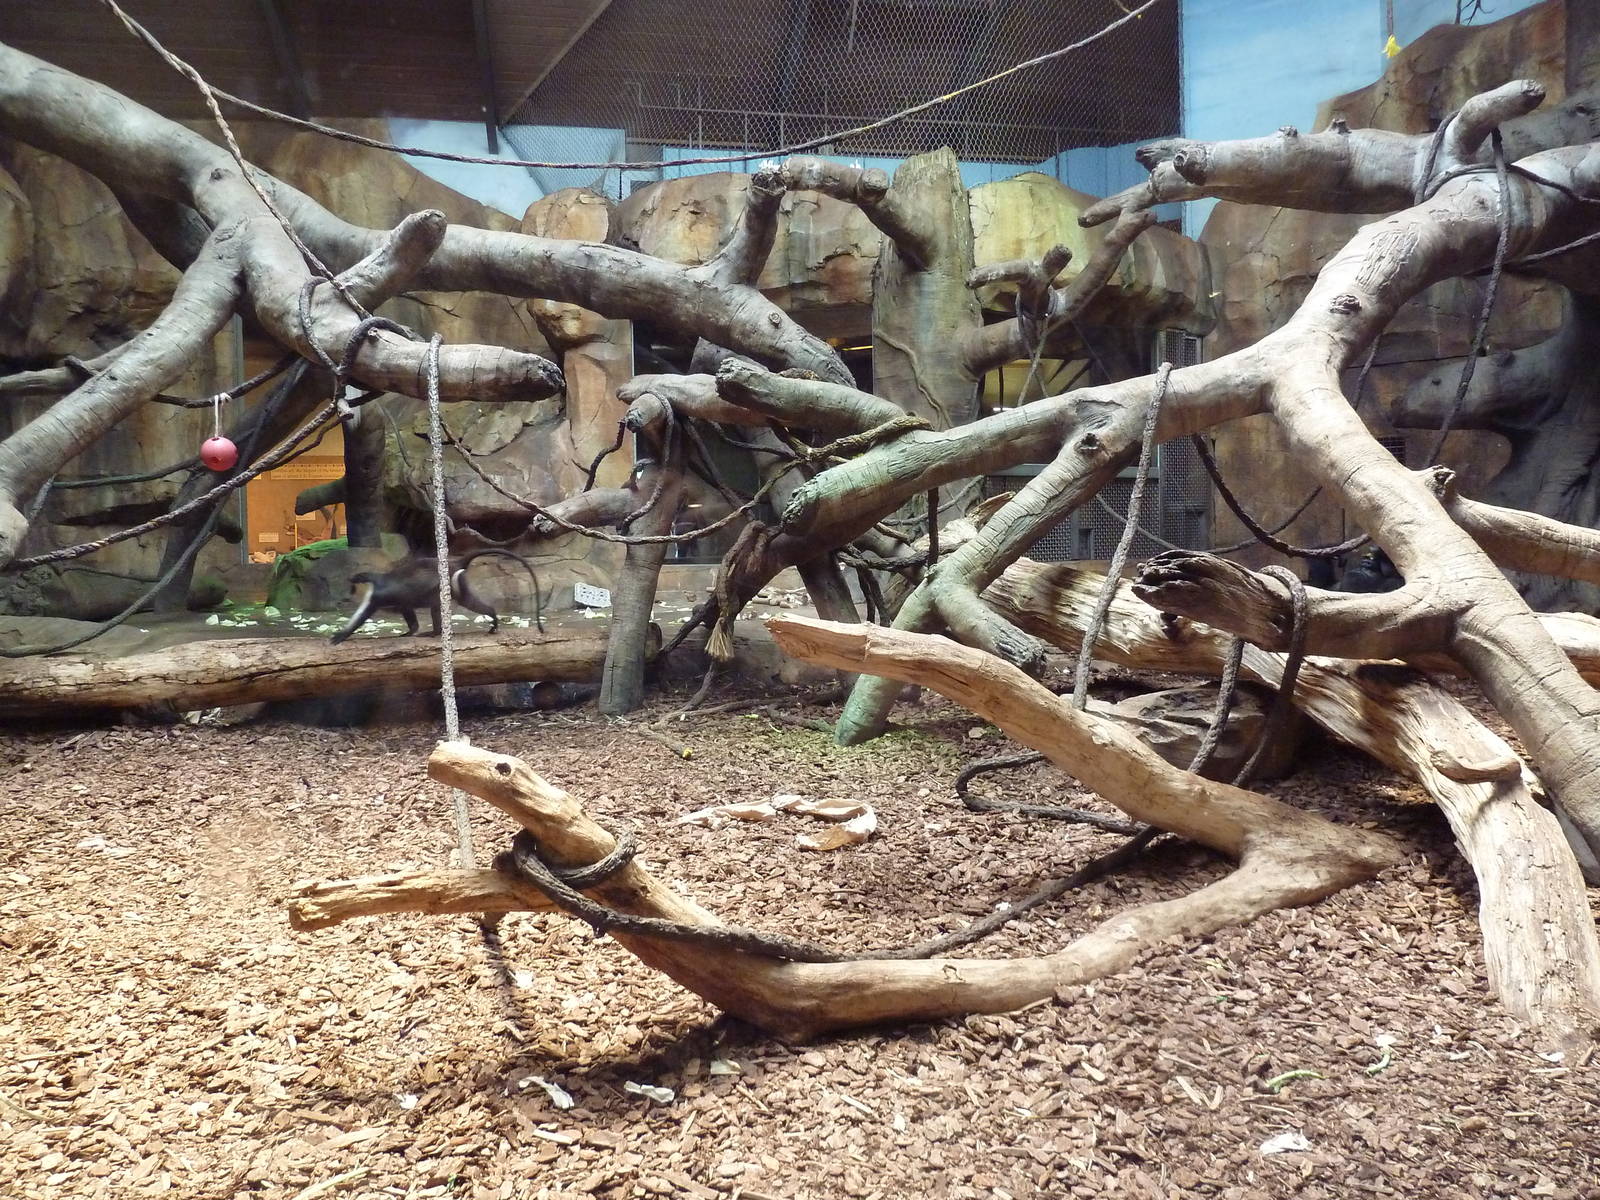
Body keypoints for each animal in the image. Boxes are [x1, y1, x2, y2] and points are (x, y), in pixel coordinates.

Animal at [330, 549, 546, 645]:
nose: (348, 590)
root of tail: (453, 563)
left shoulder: (379, 596)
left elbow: (363, 615)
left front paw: (341, 635)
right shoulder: (394, 599)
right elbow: (407, 612)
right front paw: (410, 631)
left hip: (444, 586)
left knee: (436, 606)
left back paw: (435, 632)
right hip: (456, 584)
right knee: (468, 602)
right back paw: (492, 618)